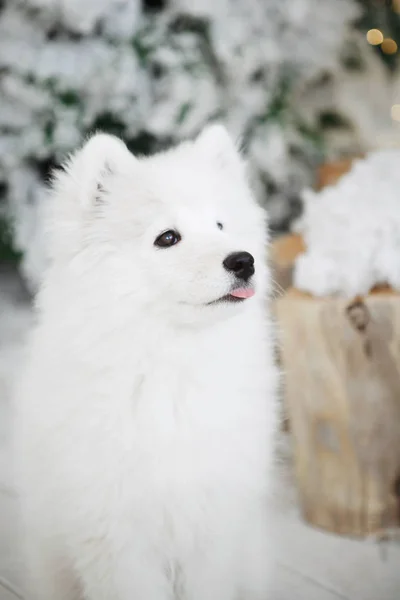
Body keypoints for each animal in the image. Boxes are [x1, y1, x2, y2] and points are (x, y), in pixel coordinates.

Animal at [15, 123, 278, 600]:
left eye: (220, 225)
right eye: (167, 238)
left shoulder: (213, 524)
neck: (171, 360)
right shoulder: (115, 535)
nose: (243, 261)